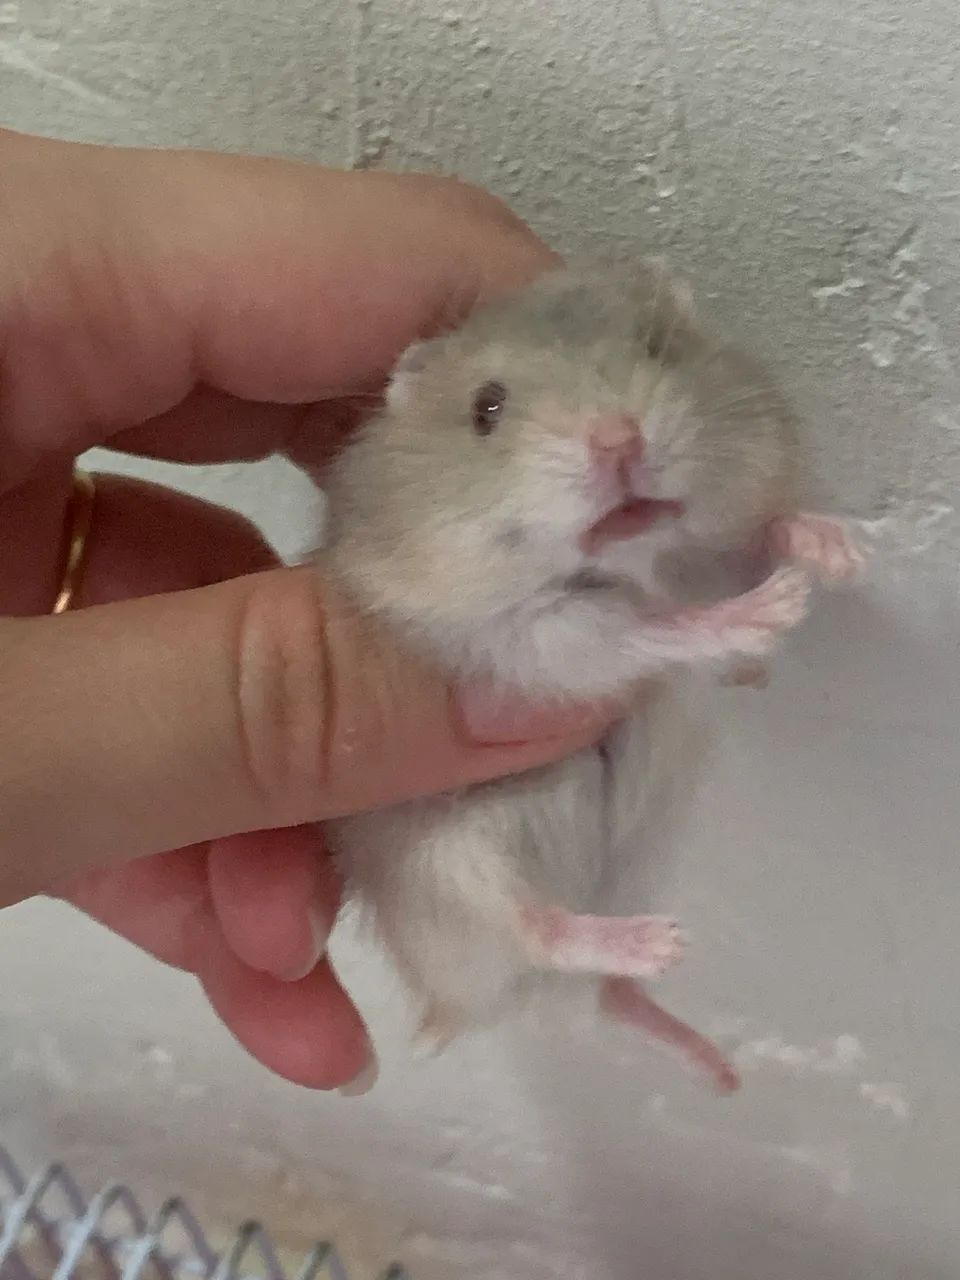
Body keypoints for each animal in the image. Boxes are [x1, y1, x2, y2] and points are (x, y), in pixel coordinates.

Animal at [318, 263, 863, 1094]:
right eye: (486, 410)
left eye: (657, 349)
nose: (618, 439)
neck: (639, 559)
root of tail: (472, 1009)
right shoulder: (533, 641)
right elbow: (643, 629)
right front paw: (773, 608)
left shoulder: (714, 544)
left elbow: (758, 534)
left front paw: (839, 552)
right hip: (449, 865)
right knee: (536, 927)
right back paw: (656, 945)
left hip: (643, 863)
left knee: (611, 1001)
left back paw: (718, 1070)